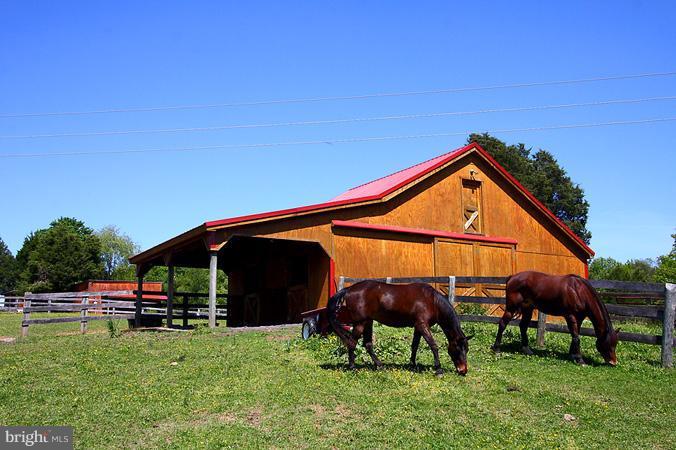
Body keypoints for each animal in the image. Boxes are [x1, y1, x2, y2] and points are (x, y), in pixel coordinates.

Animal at [327, 280, 471, 376]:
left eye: (467, 349)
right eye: (458, 349)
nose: (463, 370)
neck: (431, 301)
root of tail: (349, 289)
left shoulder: (418, 327)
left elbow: (414, 346)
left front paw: (412, 364)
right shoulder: (422, 325)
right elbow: (433, 345)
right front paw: (439, 369)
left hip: (368, 322)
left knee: (367, 345)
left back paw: (380, 366)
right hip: (360, 323)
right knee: (352, 342)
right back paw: (352, 367)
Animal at [491, 271, 619, 365]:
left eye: (615, 344)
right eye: (608, 343)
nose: (613, 362)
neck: (578, 291)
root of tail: (512, 277)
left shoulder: (579, 318)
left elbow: (575, 336)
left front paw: (572, 355)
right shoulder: (570, 316)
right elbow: (576, 337)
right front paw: (580, 359)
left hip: (528, 308)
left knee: (523, 326)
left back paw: (527, 349)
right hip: (511, 308)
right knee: (502, 324)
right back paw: (497, 349)